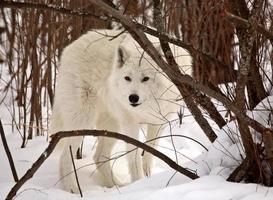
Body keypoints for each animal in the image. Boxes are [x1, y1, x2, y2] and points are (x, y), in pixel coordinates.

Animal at [49, 29, 191, 192]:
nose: (133, 98)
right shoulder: (130, 124)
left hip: (112, 126)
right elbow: (134, 157)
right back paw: (73, 190)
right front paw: (139, 183)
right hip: (82, 122)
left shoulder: (157, 123)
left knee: (99, 157)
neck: (146, 107)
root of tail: (67, 50)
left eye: (145, 78)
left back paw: (116, 186)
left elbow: (149, 153)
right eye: (127, 78)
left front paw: (148, 178)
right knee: (65, 158)